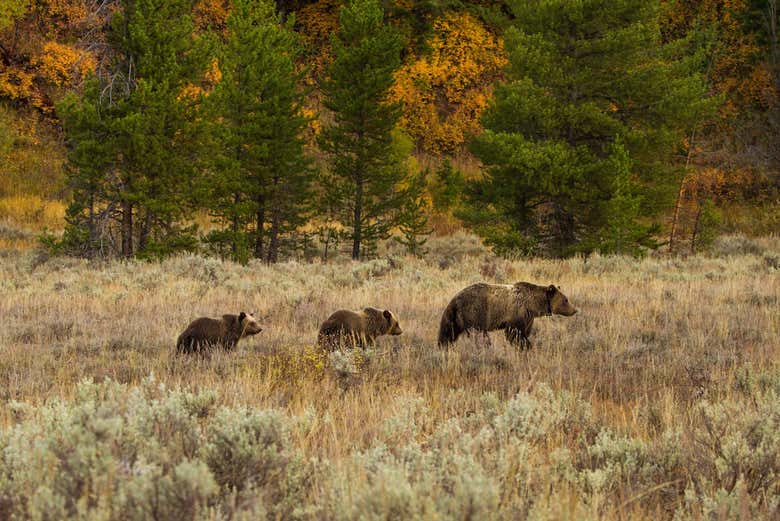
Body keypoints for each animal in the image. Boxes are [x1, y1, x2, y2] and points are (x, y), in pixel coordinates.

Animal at [437, 282, 576, 349]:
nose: (574, 310)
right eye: (566, 300)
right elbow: (515, 333)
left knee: (448, 332)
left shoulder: (528, 318)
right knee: (478, 334)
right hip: (473, 313)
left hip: (456, 318)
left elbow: (524, 332)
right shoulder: (516, 313)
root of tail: (454, 299)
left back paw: (443, 346)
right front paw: (526, 346)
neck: (532, 305)